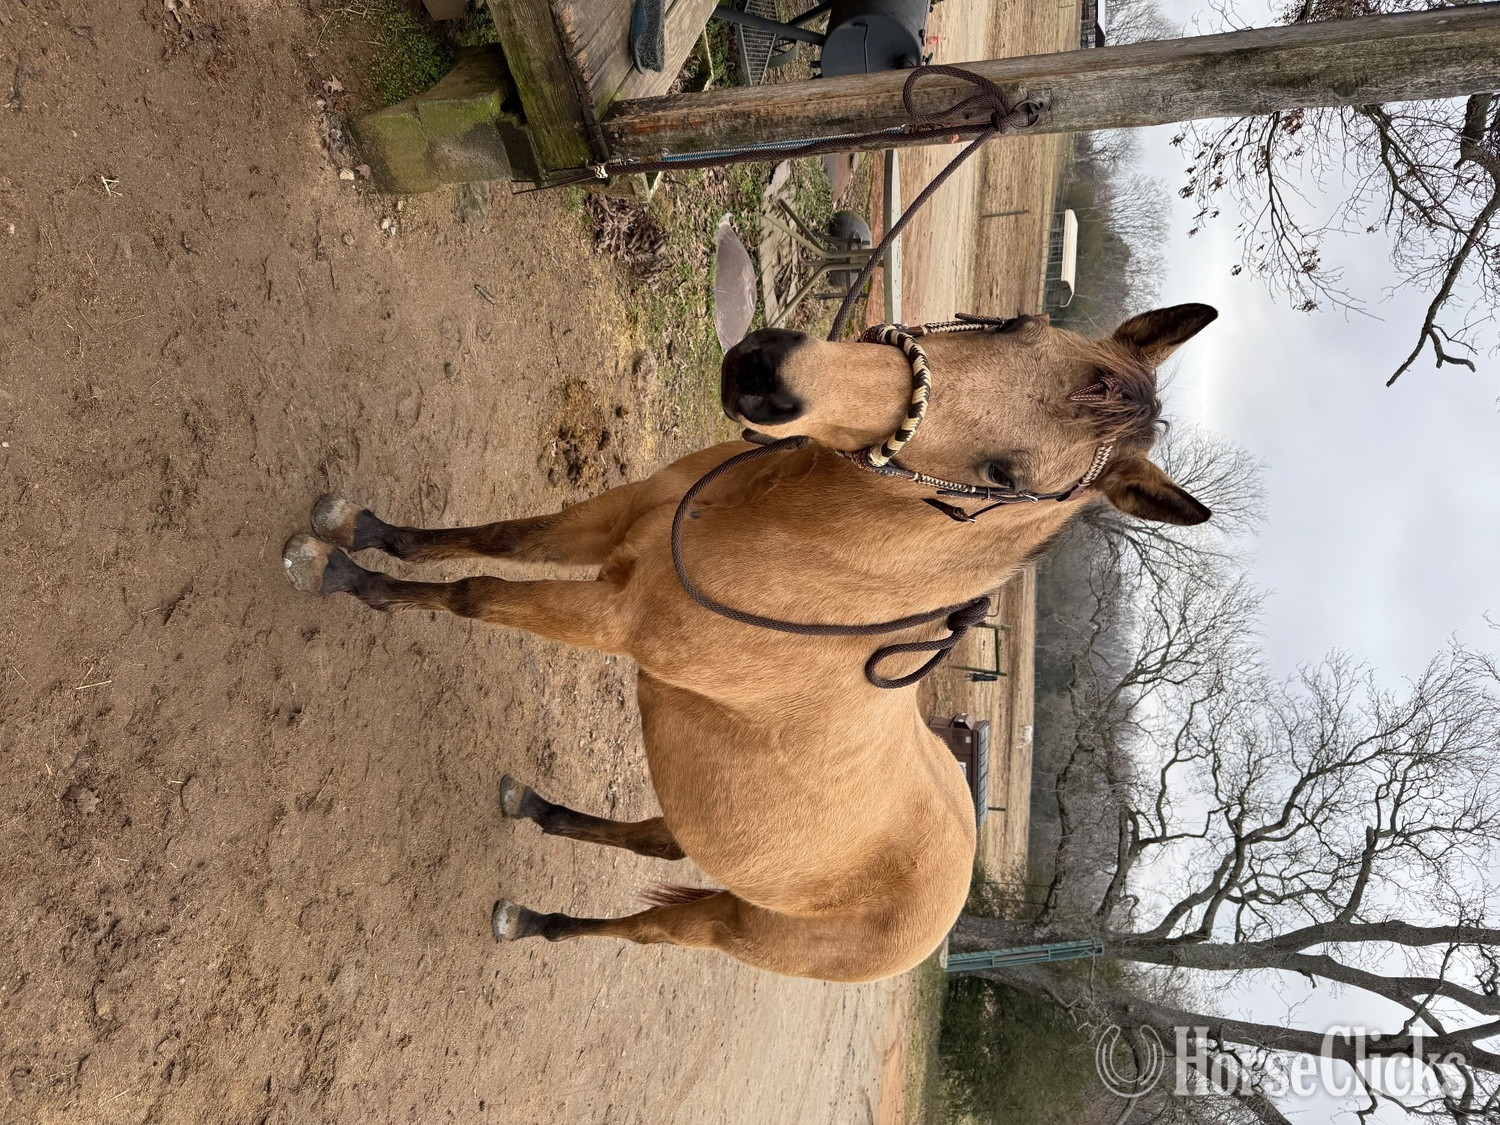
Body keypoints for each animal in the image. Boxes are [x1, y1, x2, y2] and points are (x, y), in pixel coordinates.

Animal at [281, 303, 1217, 983]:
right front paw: (364, 528)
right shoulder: (605, 524)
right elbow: (490, 538)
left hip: (728, 925)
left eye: (1005, 476)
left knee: (648, 926)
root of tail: (949, 908)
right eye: (1015, 324)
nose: (769, 376)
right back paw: (537, 810)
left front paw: (340, 573)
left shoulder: (610, 616)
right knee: (653, 841)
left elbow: (473, 593)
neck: (803, 554)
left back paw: (534, 919)